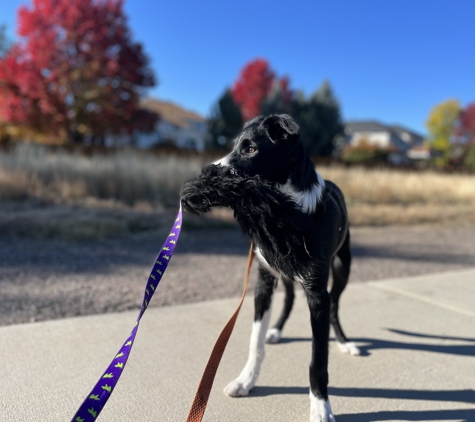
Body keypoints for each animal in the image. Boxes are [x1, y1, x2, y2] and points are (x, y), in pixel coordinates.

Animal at [182, 113, 360, 420]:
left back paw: (343, 341)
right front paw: (246, 380)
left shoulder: (317, 293)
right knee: (288, 297)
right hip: (284, 274)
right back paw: (276, 330)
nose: (208, 174)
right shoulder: (264, 281)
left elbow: (318, 360)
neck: (285, 209)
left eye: (251, 149)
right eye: (234, 146)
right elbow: (256, 342)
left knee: (336, 304)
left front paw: (321, 406)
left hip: (341, 268)